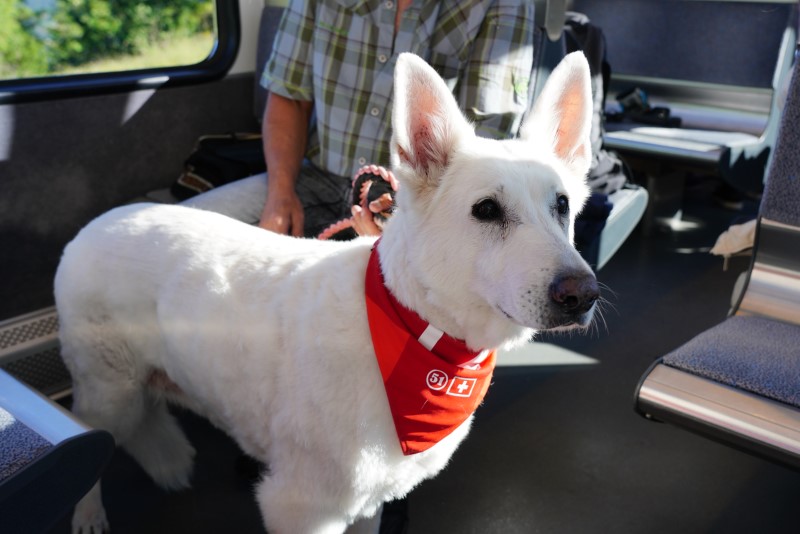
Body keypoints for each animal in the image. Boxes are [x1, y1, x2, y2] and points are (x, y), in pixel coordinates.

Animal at [57, 51, 600, 534]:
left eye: (562, 206)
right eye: (486, 210)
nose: (582, 294)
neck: (414, 328)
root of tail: (94, 226)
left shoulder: (367, 502)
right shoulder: (301, 508)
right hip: (109, 393)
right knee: (89, 437)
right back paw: (86, 514)